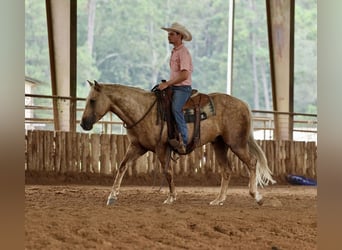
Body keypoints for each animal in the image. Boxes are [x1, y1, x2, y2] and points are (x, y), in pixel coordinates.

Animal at [80, 80, 276, 205]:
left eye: (93, 100)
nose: (83, 124)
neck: (142, 110)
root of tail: (243, 104)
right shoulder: (137, 147)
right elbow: (122, 166)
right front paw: (112, 196)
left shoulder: (161, 148)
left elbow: (167, 171)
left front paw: (171, 197)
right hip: (219, 144)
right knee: (226, 170)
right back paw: (218, 200)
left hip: (236, 143)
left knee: (252, 162)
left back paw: (256, 196)